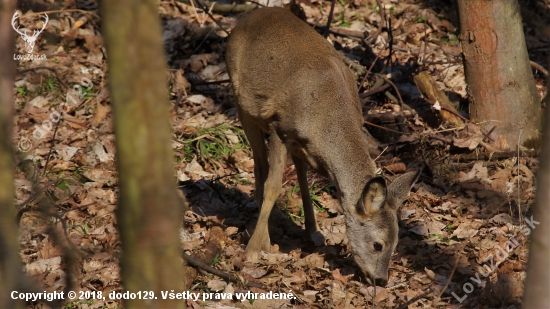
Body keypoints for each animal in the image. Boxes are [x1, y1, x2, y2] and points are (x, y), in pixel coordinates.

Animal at [226, 7, 420, 286]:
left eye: (396, 245)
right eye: (378, 245)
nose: (382, 280)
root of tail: (249, 16)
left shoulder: (303, 144)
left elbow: (304, 183)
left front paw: (313, 232)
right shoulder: (279, 128)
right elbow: (275, 186)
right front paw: (254, 249)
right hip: (243, 104)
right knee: (260, 164)